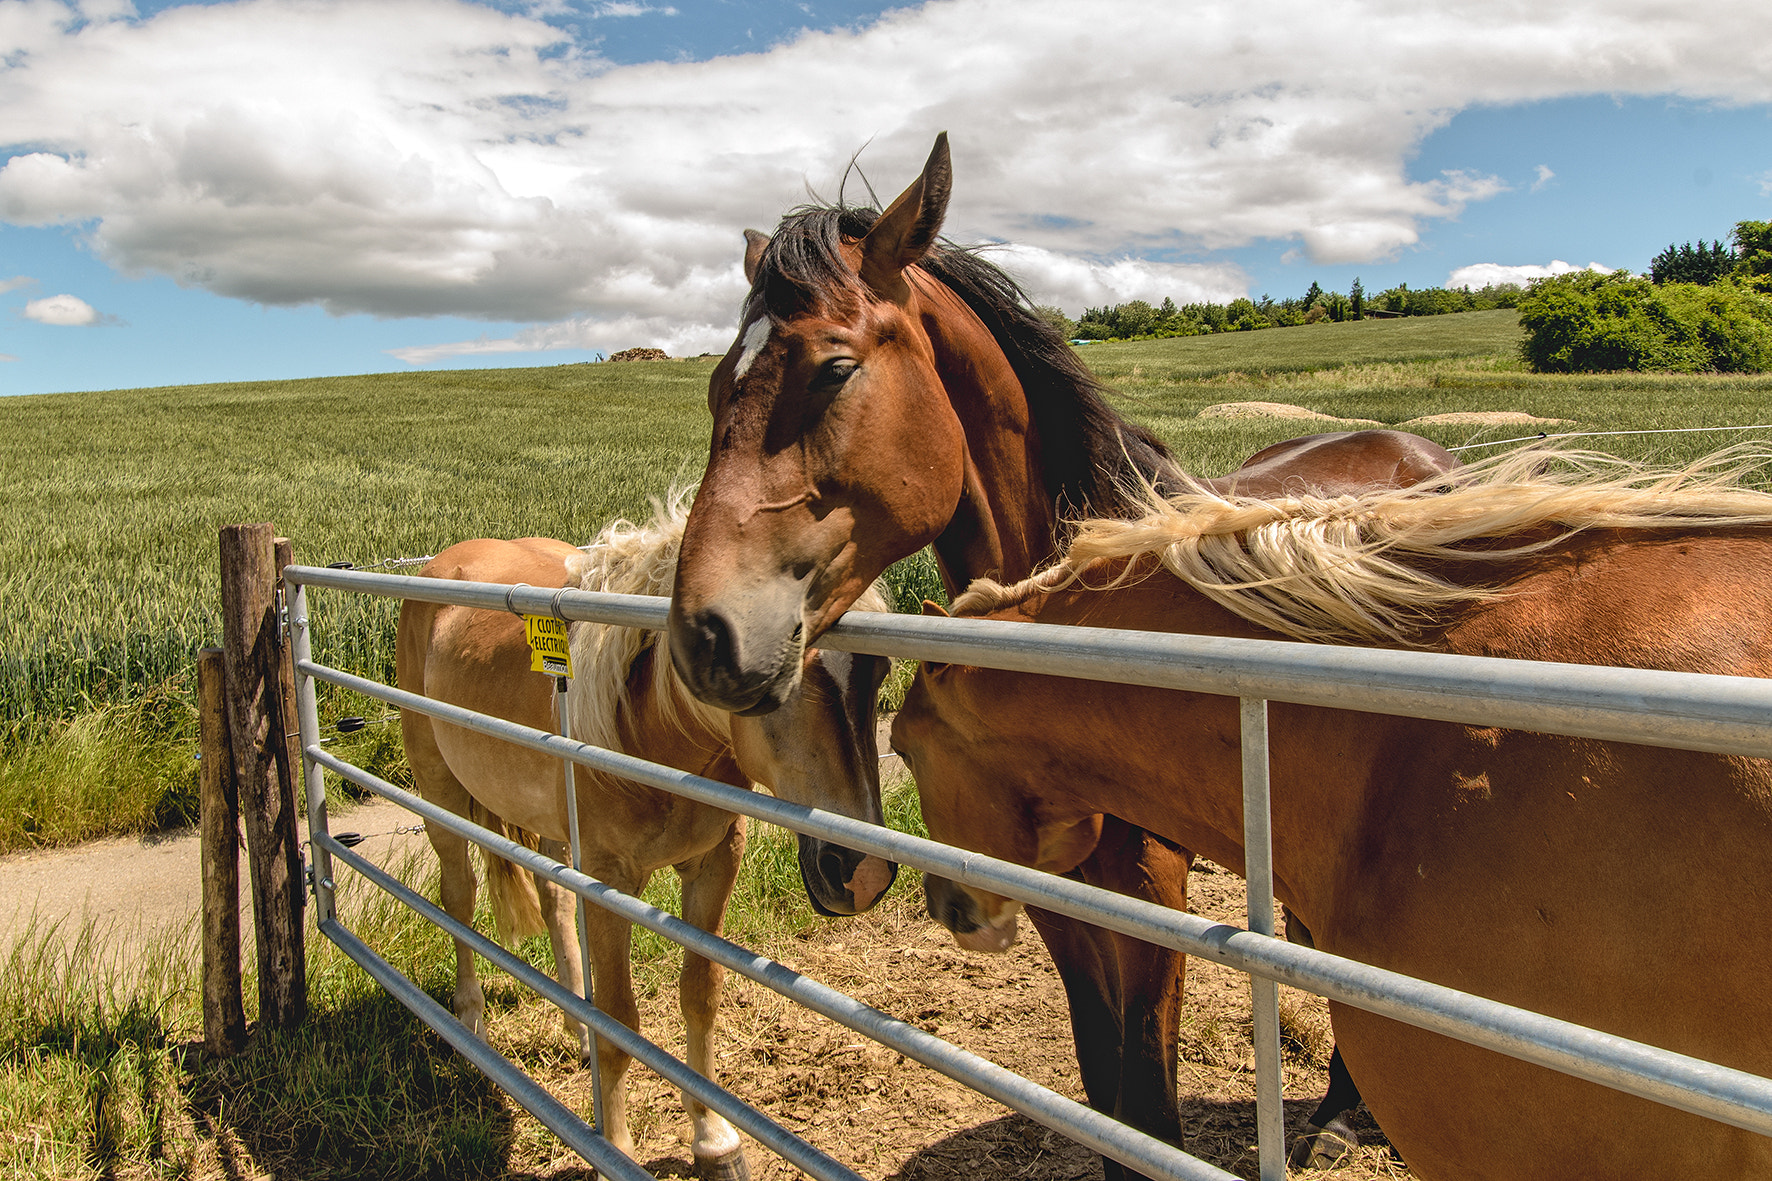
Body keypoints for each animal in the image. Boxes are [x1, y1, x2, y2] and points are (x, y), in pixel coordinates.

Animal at [405, 500, 900, 1177]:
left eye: (880, 668)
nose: (863, 872)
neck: (647, 723)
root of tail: (443, 562)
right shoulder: (608, 881)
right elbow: (619, 1018)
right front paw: (615, 1149)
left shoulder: (715, 864)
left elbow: (700, 995)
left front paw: (715, 1141)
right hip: (441, 796)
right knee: (458, 899)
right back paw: (470, 1026)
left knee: (553, 902)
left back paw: (573, 1026)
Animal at [666, 128, 1453, 1170]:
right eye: (720, 386)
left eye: (832, 371)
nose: (702, 634)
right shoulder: (1055, 892)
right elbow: (1106, 1094)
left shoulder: (1151, 892)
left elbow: (1148, 1107)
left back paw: (1338, 1117)